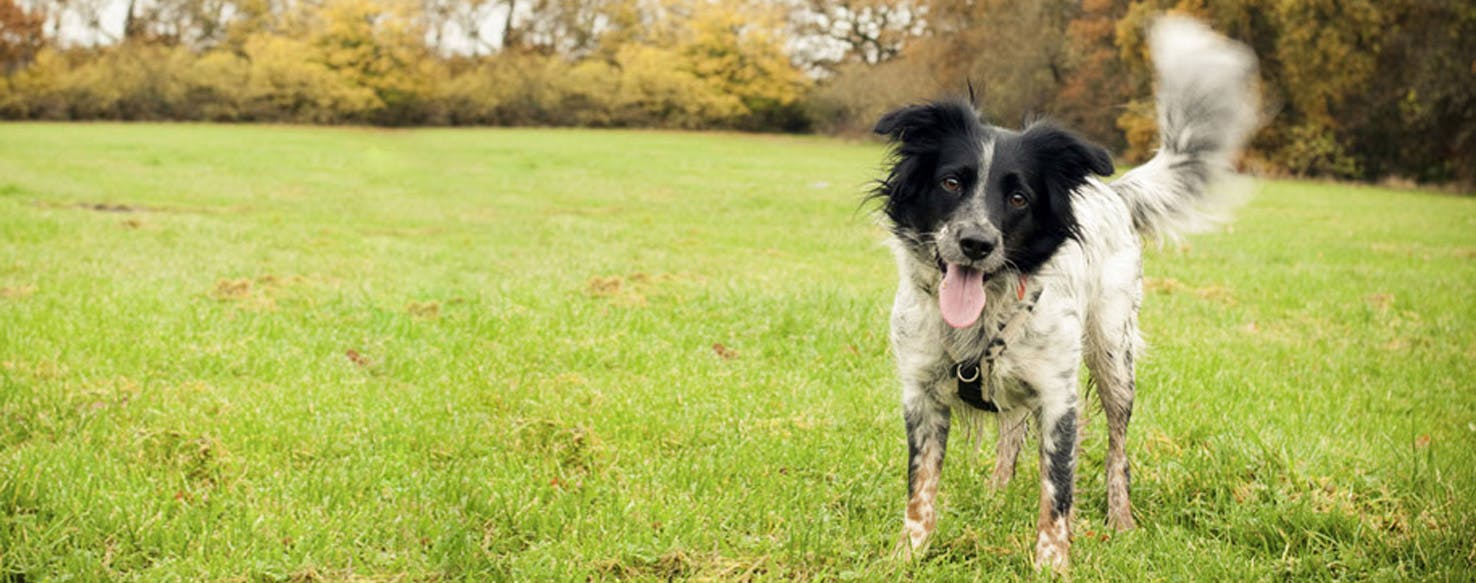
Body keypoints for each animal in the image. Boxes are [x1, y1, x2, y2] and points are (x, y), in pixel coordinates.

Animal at [867, 17, 1263, 569]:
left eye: (1018, 198)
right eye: (950, 183)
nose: (976, 243)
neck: (984, 319)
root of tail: (1111, 191)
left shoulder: (1060, 399)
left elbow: (1057, 492)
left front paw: (1052, 563)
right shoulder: (921, 394)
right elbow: (920, 487)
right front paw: (907, 554)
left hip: (1114, 360)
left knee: (1117, 449)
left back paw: (1121, 521)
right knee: (1011, 431)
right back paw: (996, 497)